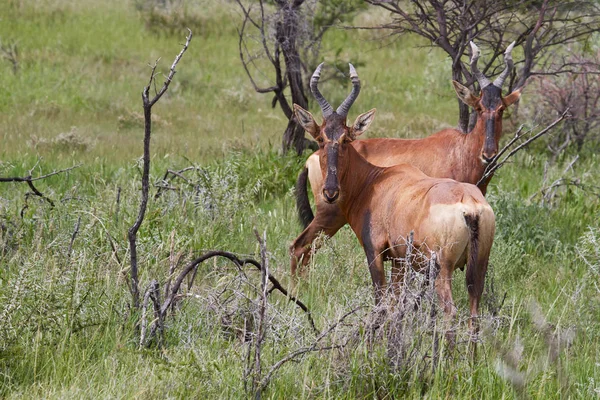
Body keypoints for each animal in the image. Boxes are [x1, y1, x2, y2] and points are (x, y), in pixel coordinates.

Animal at [290, 42, 520, 276]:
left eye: (501, 108)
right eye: (479, 107)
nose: (488, 155)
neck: (460, 149)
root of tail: (311, 159)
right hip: (328, 214)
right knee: (299, 247)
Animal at [292, 64, 494, 336]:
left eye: (346, 139)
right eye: (321, 139)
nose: (330, 192)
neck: (375, 180)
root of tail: (470, 206)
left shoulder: (375, 252)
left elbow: (381, 303)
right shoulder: (399, 260)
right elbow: (396, 304)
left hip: (442, 268)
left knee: (450, 312)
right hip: (479, 265)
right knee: (474, 315)